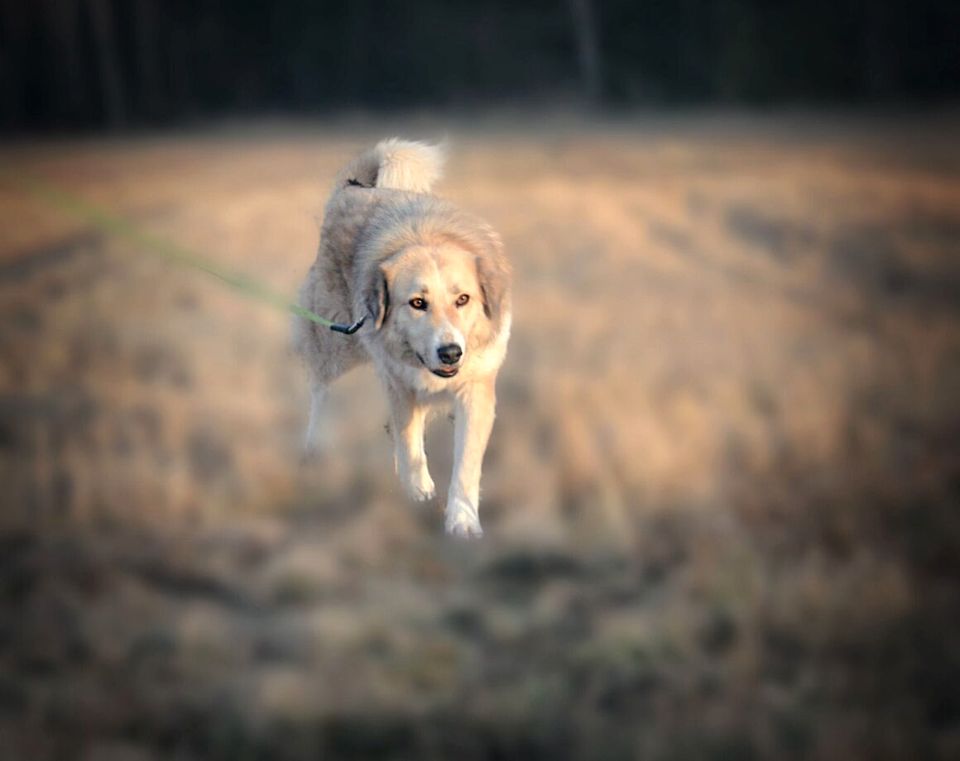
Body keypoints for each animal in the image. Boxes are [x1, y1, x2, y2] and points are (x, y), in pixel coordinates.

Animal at [294, 140, 510, 536]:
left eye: (463, 299)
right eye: (417, 303)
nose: (451, 353)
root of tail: (352, 187)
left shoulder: (476, 390)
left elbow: (466, 463)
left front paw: (462, 521)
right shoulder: (399, 382)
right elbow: (410, 444)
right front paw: (417, 493)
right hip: (337, 345)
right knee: (321, 391)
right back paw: (315, 448)